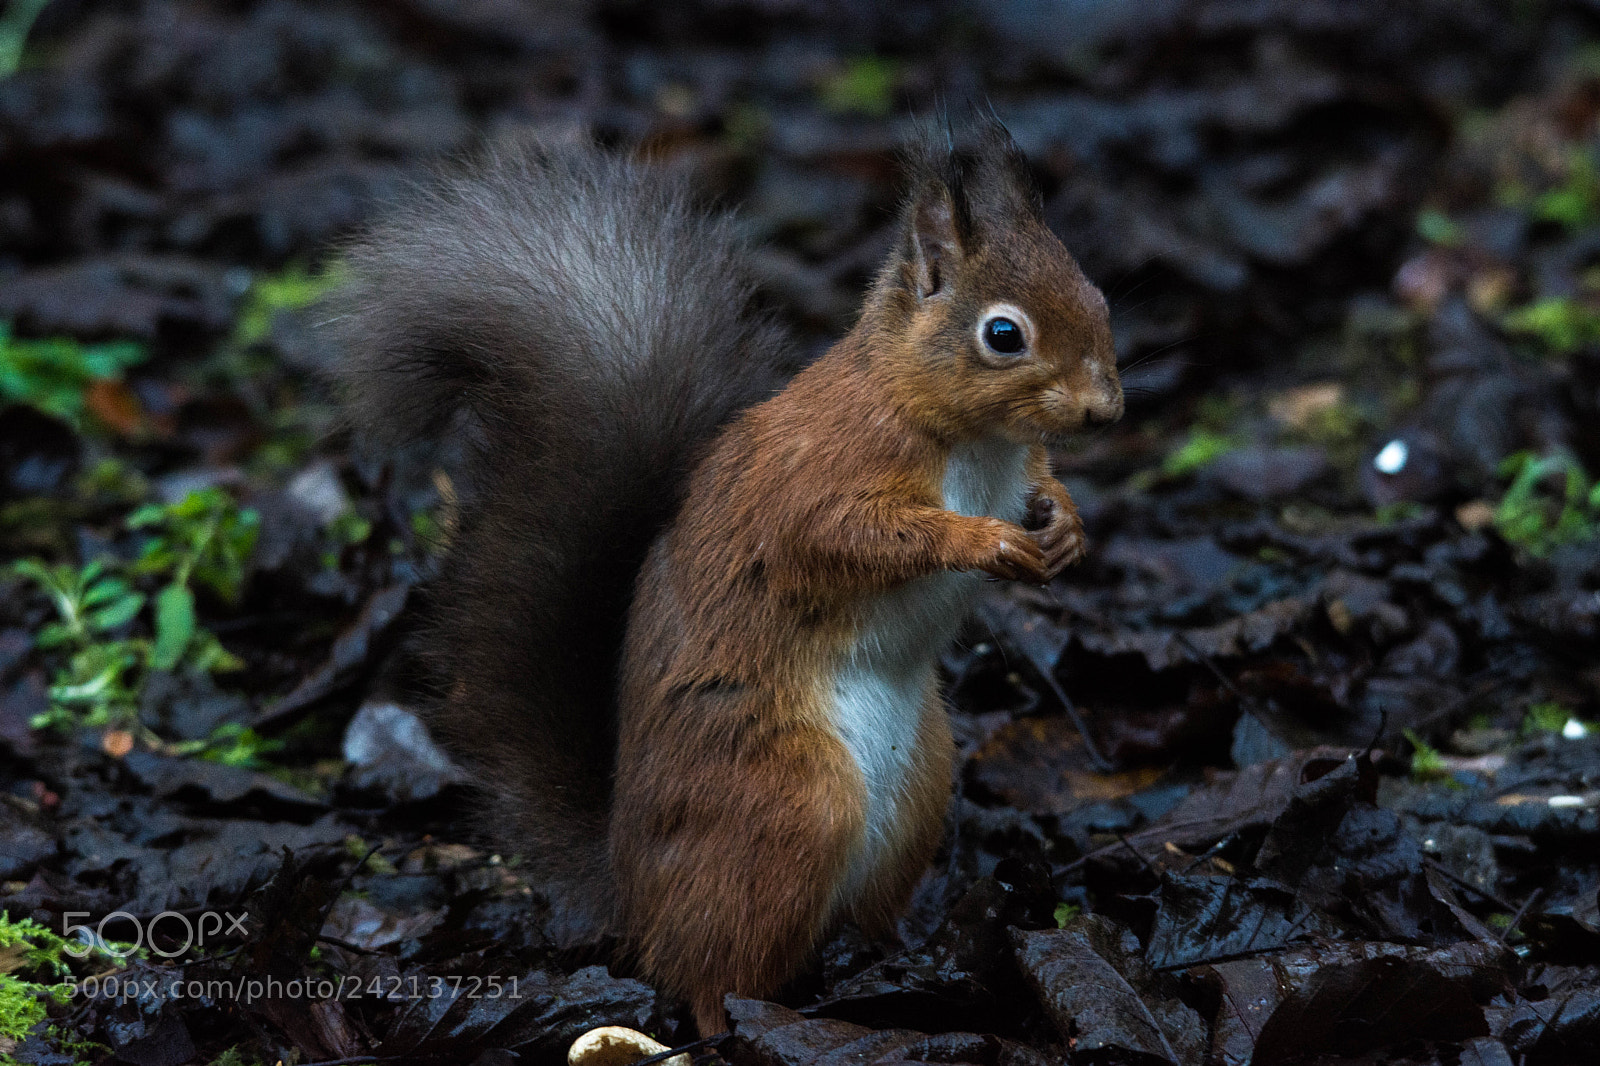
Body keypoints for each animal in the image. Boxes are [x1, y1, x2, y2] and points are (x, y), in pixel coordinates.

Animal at [332, 120, 1122, 1036]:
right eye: (1003, 335)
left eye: (1098, 296)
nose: (1107, 410)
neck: (974, 438)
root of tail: (632, 894)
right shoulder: (822, 478)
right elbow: (850, 536)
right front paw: (985, 540)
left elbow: (1042, 482)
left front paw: (1064, 527)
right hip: (786, 800)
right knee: (712, 972)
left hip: (922, 786)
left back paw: (899, 964)